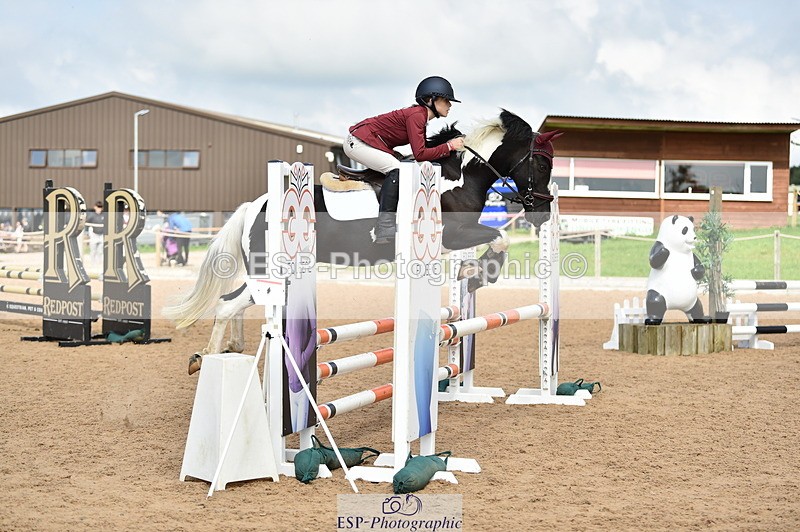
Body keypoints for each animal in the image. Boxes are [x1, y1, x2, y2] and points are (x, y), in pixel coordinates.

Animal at [162, 110, 562, 374]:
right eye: (543, 166)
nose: (542, 214)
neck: (457, 178)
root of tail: (254, 206)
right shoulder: (452, 234)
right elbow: (501, 237)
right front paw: (482, 274)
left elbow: (487, 245)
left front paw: (471, 273)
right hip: (273, 271)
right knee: (227, 306)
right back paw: (206, 358)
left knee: (235, 304)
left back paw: (231, 349)